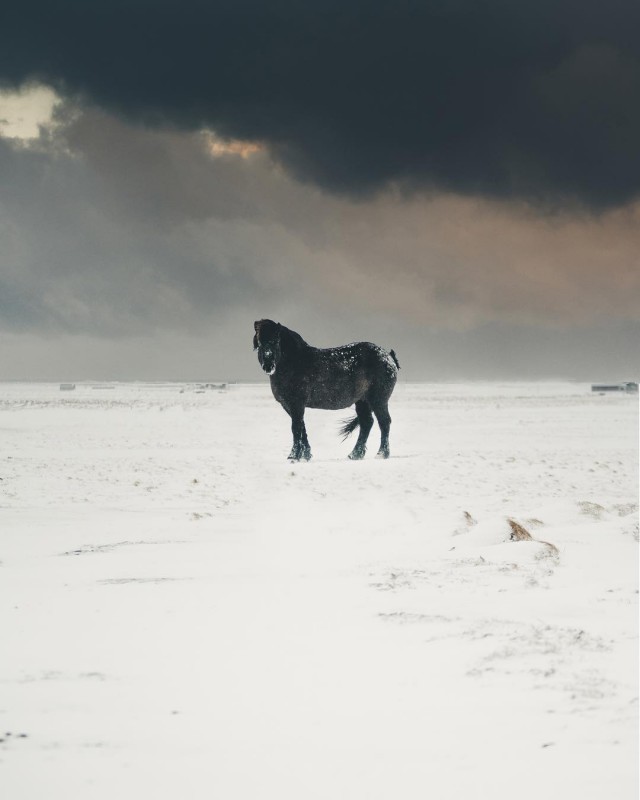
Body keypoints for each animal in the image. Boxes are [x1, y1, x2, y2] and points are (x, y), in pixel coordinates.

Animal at [251, 320, 398, 462]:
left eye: (276, 340)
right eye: (259, 343)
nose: (268, 366)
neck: (294, 362)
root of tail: (389, 357)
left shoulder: (296, 404)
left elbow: (296, 428)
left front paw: (293, 456)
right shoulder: (288, 405)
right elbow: (302, 427)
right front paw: (306, 455)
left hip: (378, 400)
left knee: (384, 422)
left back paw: (381, 454)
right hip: (362, 401)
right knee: (367, 423)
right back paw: (355, 455)